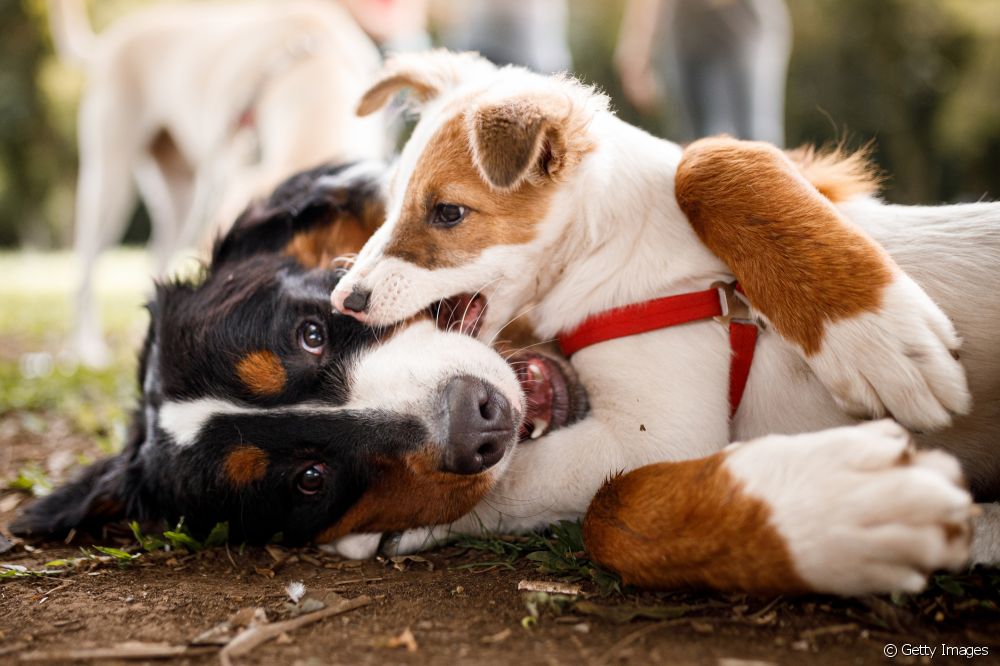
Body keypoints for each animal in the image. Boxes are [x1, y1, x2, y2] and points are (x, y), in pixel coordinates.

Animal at [49, 0, 386, 364]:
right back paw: (88, 347)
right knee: (84, 268)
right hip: (109, 181)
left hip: (183, 196)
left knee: (156, 254)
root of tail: (111, 40)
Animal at [328, 52, 1000, 592]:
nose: (345, 301)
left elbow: (583, 495)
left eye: (447, 212)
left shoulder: (655, 436)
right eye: (391, 204)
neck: (611, 250)